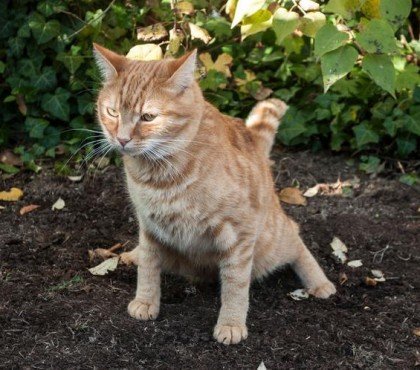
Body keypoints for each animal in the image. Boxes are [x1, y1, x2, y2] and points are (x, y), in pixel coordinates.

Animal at [93, 44, 336, 346]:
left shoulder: (240, 233)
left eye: (148, 117)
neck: (161, 174)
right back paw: (131, 255)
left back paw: (319, 283)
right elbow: (148, 265)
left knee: (296, 238)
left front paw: (231, 323)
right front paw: (146, 301)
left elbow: (235, 284)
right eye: (112, 112)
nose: (122, 139)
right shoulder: (148, 225)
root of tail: (252, 137)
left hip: (272, 240)